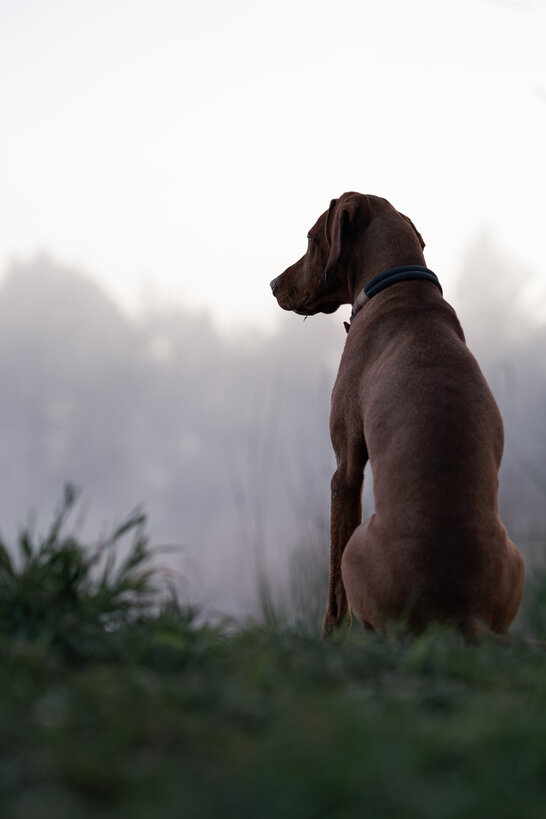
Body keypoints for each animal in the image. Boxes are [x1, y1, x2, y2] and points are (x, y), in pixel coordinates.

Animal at [270, 194, 524, 640]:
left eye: (311, 238)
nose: (271, 284)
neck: (404, 289)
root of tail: (459, 610)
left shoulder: (345, 469)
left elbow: (335, 599)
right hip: (517, 559)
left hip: (357, 548)